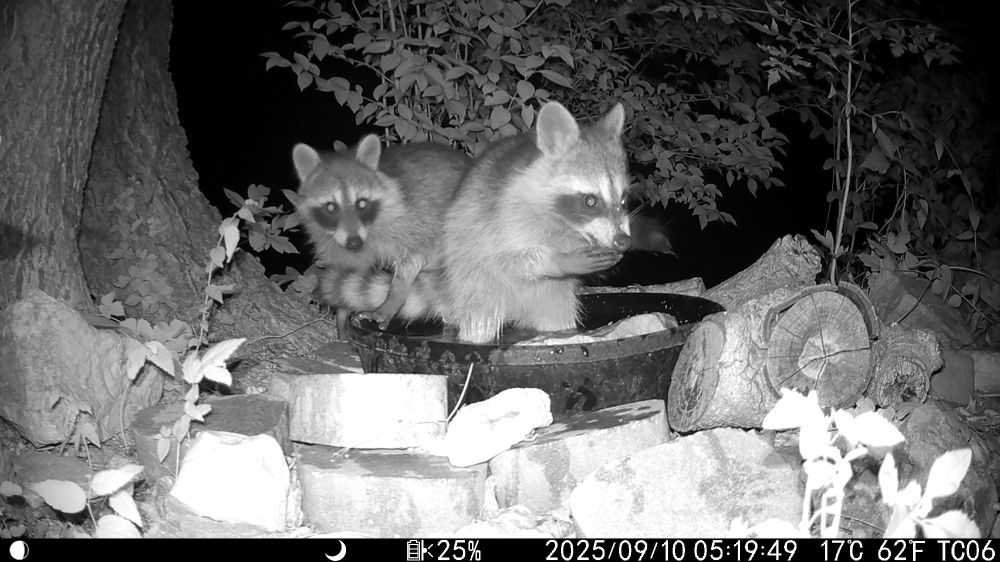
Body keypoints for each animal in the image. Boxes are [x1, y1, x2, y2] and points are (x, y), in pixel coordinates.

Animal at [292, 135, 469, 335]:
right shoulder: (338, 245)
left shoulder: (415, 221)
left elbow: (413, 260)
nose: (354, 242)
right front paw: (343, 310)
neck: (368, 230)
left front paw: (392, 300)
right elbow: (352, 270)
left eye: (361, 203)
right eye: (331, 206)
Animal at [440, 101, 632, 344]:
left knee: (558, 318)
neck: (566, 225)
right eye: (590, 201)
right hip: (474, 278)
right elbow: (507, 259)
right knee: (479, 316)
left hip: (552, 296)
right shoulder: (504, 216)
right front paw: (558, 260)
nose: (623, 241)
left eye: (623, 199)